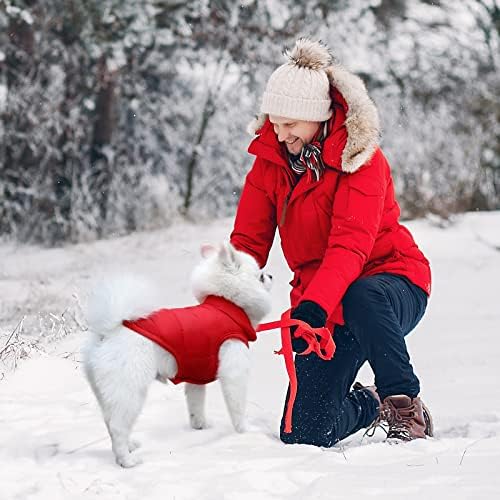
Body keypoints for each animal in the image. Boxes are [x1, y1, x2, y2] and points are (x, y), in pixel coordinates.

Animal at [83, 243, 270, 468]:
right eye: (260, 276)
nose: (270, 275)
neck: (227, 305)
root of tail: (109, 332)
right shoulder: (234, 371)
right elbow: (237, 406)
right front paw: (245, 431)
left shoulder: (196, 377)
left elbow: (196, 406)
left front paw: (201, 426)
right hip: (129, 390)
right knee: (118, 426)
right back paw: (127, 460)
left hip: (105, 391)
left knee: (109, 421)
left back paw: (129, 447)